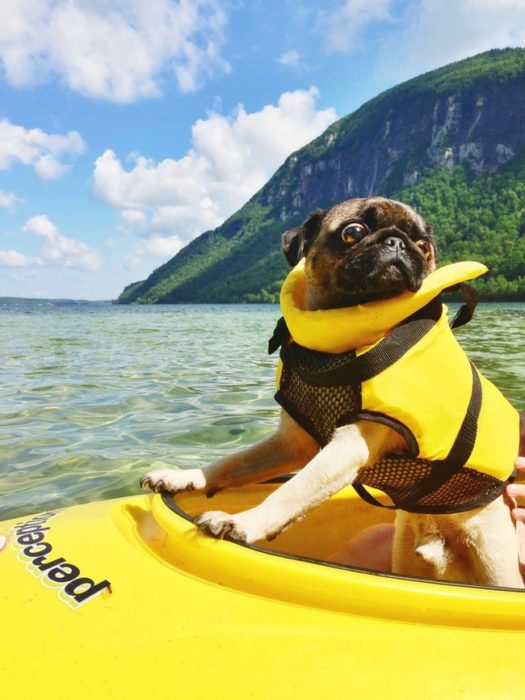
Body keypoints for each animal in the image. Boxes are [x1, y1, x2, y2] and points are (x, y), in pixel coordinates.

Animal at [139, 198, 520, 592]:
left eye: (424, 246)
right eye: (353, 232)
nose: (398, 243)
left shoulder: (349, 446)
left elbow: (294, 490)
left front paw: (245, 522)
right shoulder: (290, 445)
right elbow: (231, 464)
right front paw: (186, 476)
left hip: (494, 563)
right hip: (405, 555)